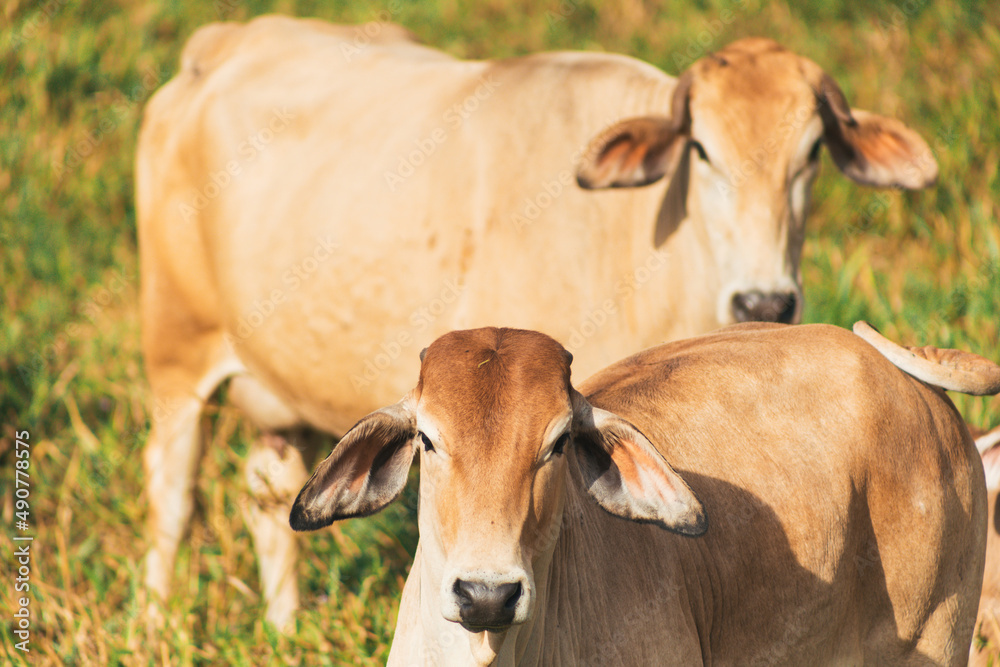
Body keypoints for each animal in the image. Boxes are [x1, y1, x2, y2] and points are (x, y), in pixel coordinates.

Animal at [136, 15, 938, 626]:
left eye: (813, 153)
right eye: (703, 150)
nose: (765, 303)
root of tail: (224, 41)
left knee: (270, 493)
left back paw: (285, 625)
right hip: (175, 348)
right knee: (172, 494)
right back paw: (153, 622)